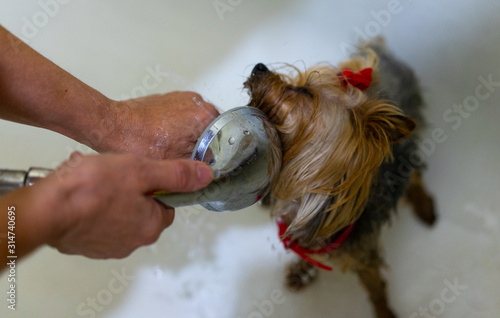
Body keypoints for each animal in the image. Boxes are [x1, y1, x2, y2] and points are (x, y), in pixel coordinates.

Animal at [244, 38, 436, 318]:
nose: (259, 67)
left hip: (407, 148)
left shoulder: (364, 256)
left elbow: (376, 289)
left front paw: (384, 312)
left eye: (304, 92)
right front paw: (300, 272)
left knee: (416, 176)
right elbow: (304, 253)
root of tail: (388, 58)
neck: (305, 199)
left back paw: (424, 205)